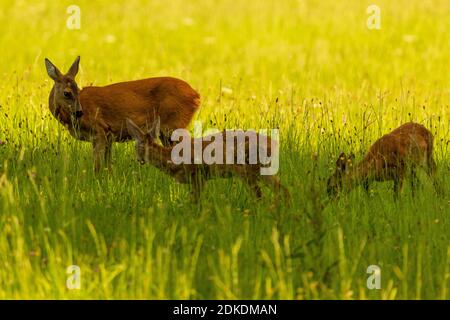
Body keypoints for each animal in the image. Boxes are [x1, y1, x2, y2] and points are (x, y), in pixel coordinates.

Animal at [44, 57, 200, 172]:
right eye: (67, 93)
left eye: (78, 90)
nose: (79, 112)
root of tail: (196, 95)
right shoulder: (109, 136)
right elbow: (108, 165)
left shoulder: (99, 130)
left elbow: (97, 166)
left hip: (174, 124)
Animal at [125, 117, 292, 205]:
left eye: (136, 146)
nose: (138, 159)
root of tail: (273, 144)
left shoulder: (197, 174)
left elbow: (194, 200)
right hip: (262, 170)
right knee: (282, 189)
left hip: (246, 169)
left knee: (259, 195)